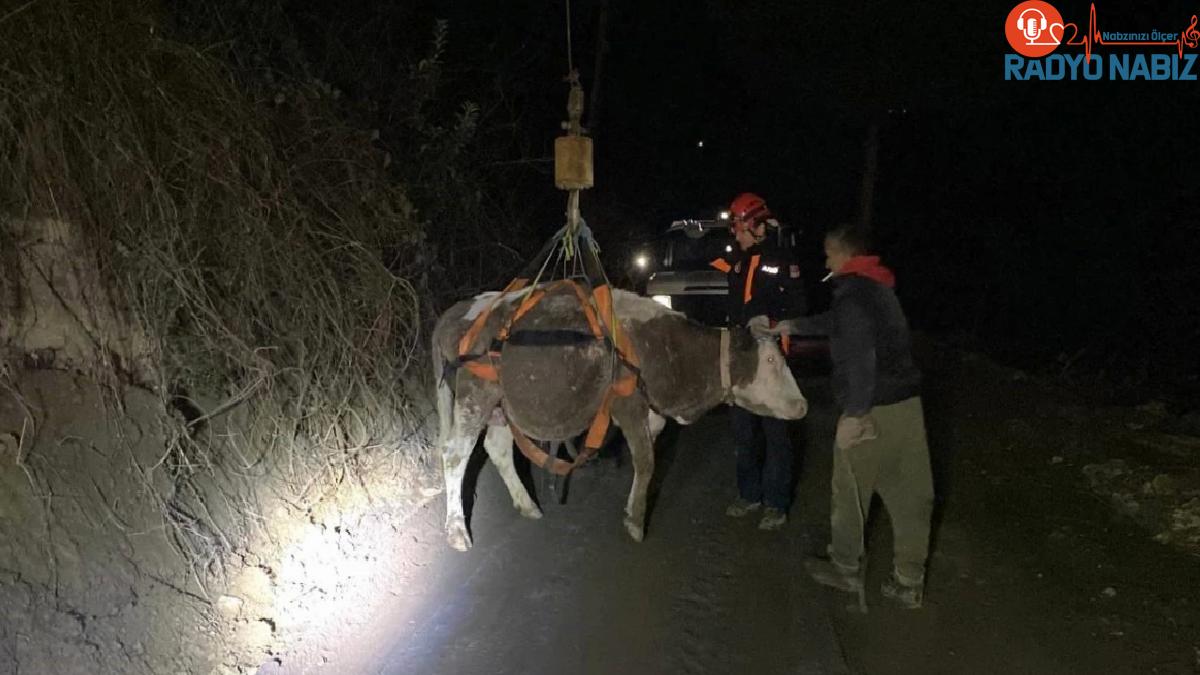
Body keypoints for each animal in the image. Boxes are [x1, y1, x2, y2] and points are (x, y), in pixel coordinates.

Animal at [432, 281, 806, 550]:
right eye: (770, 360)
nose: (802, 405)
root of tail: (457, 311)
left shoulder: (652, 415)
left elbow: (647, 457)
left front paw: (631, 511)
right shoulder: (628, 406)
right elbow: (646, 462)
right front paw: (636, 523)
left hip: (504, 405)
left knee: (497, 449)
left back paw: (528, 506)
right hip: (475, 395)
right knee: (454, 454)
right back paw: (457, 533)